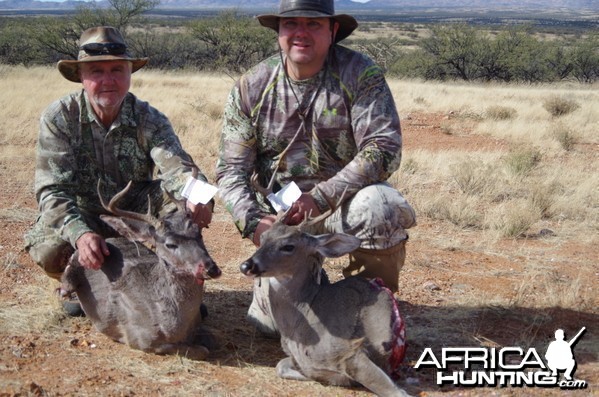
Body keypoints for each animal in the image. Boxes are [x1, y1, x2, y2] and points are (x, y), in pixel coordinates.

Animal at [60, 176, 223, 358]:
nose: (211, 268)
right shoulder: (140, 338)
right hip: (74, 265)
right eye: (170, 244)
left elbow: (215, 337)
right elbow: (201, 351)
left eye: (199, 233)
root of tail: (107, 240)